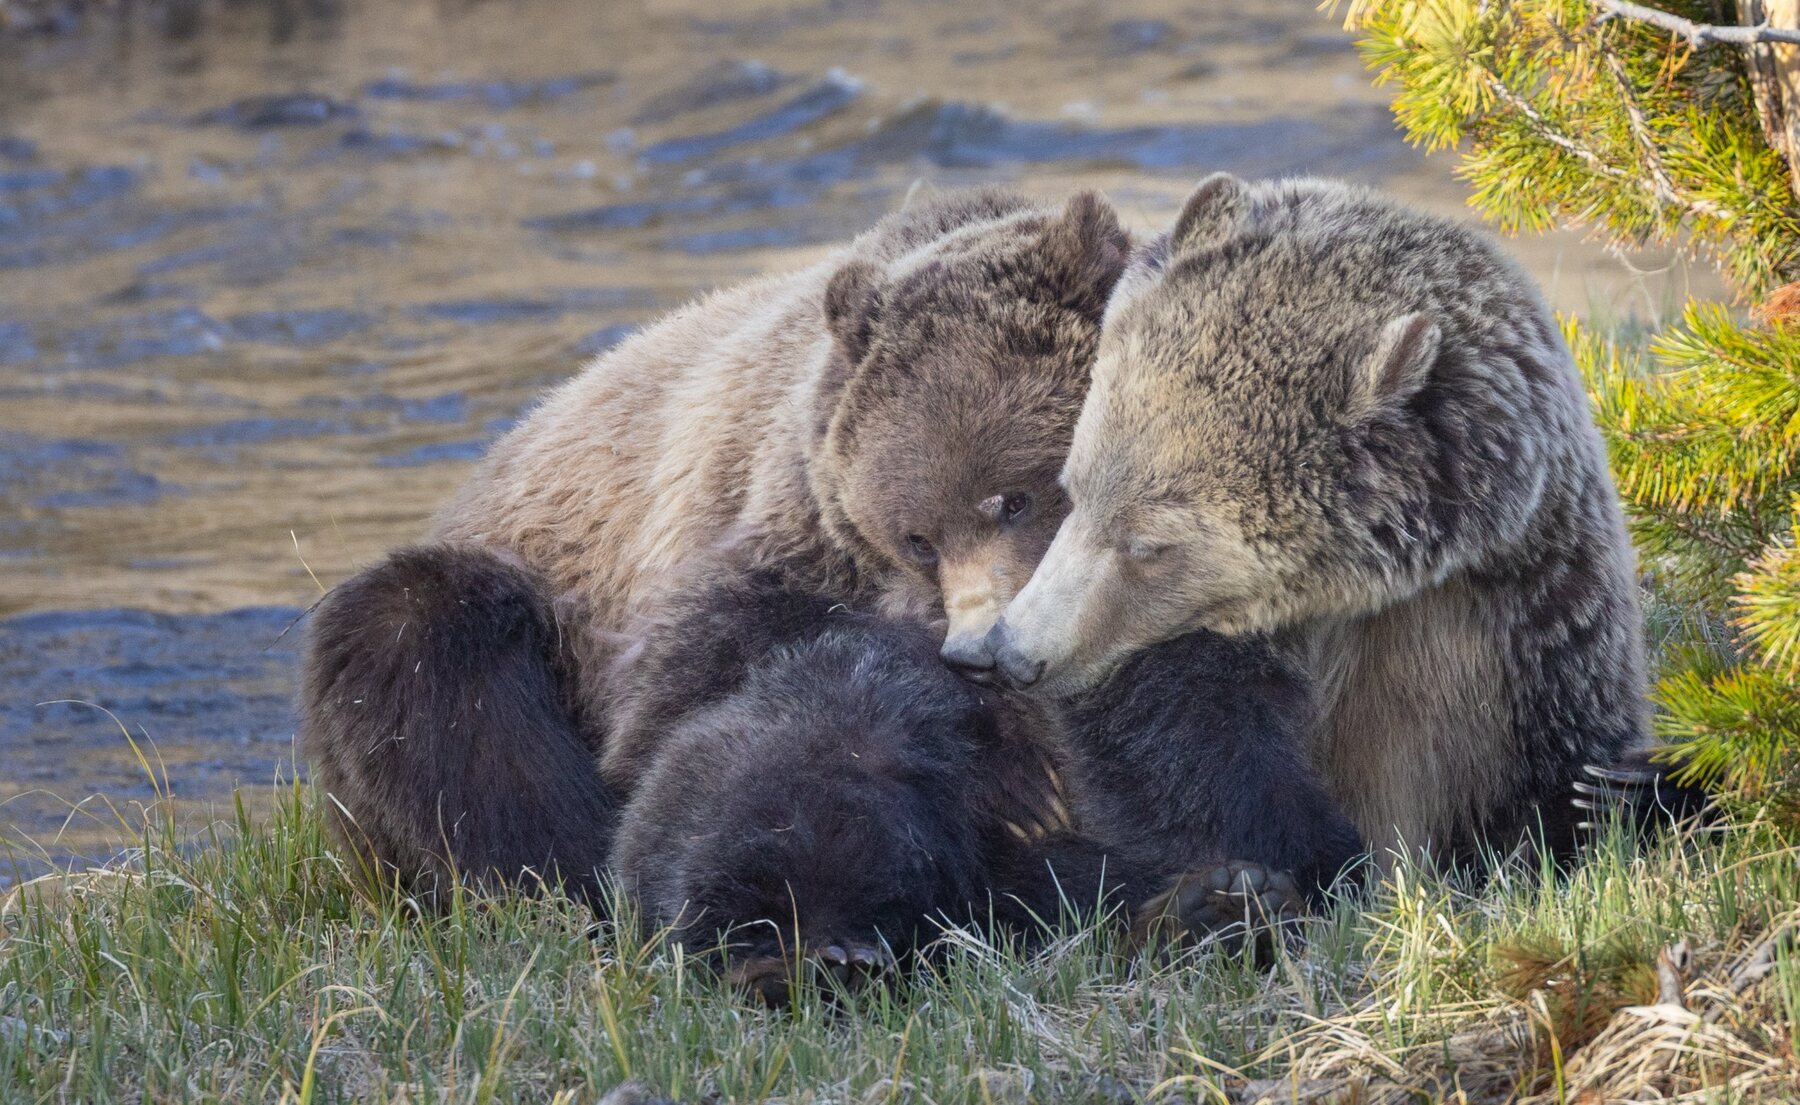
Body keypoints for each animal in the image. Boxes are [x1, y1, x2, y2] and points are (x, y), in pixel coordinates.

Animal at [300, 185, 1133, 903]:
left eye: (1014, 498)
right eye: (919, 539)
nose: (981, 650)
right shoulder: (753, 551)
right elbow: (685, 729)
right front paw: (1024, 784)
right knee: (424, 656)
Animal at [979, 174, 1650, 866]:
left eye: (1149, 545)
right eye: (1075, 488)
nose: (1012, 654)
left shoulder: (1526, 614)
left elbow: (1552, 781)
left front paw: (1618, 789)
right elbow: (1178, 745)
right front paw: (1308, 853)